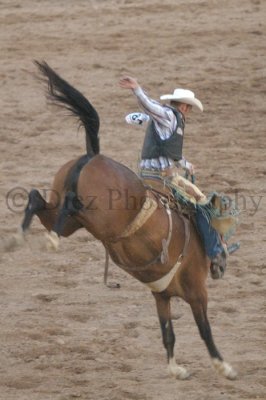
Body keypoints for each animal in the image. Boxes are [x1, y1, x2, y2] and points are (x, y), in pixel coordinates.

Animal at [20, 61, 237, 380]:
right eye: (220, 234)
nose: (221, 263)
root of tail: (93, 155)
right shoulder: (198, 293)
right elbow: (204, 330)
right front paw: (224, 367)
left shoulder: (161, 295)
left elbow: (168, 332)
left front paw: (176, 369)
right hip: (98, 215)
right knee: (67, 208)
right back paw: (50, 240)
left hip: (74, 217)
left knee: (38, 199)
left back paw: (22, 235)